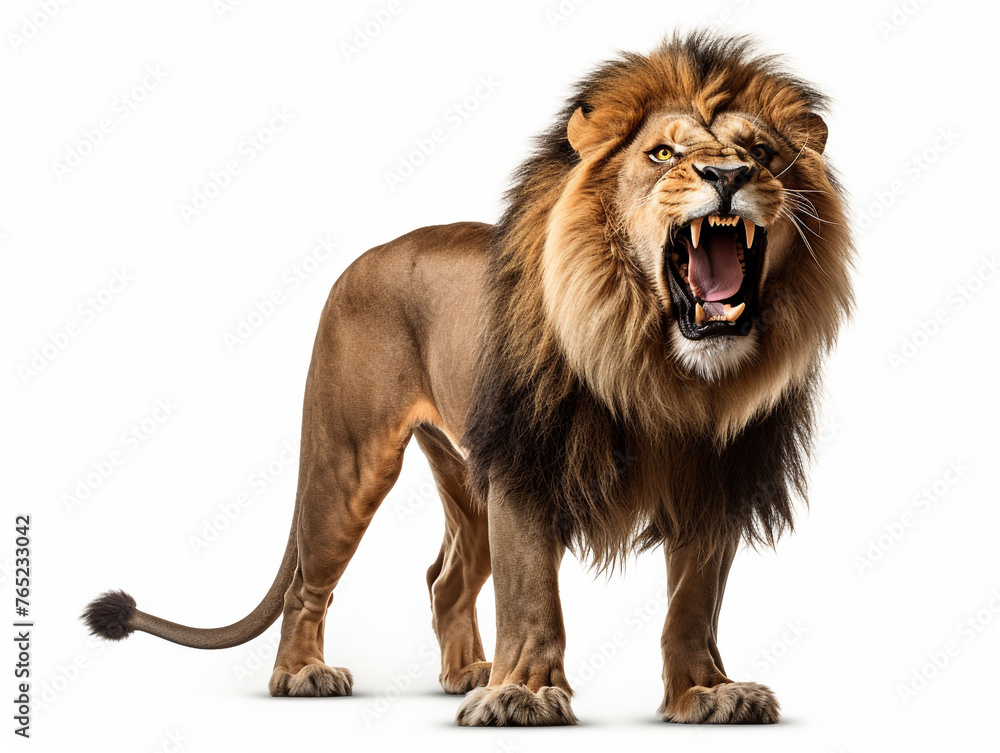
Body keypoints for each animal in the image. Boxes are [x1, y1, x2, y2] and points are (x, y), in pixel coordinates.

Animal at [83, 33, 853, 726]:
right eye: (662, 154)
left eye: (762, 154)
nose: (728, 176)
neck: (656, 365)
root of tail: (362, 257)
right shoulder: (526, 464)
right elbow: (532, 596)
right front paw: (526, 695)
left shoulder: (718, 478)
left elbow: (693, 604)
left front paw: (708, 693)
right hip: (350, 460)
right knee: (310, 584)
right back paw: (302, 674)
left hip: (464, 472)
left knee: (445, 579)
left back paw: (468, 672)